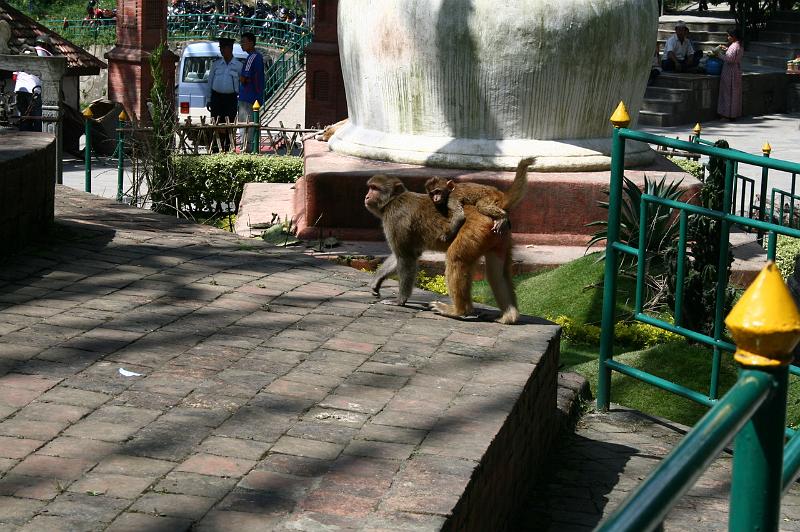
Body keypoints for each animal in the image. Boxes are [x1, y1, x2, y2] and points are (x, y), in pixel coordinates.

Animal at [364, 173, 521, 324]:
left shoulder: (395, 219)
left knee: (455, 259)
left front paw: (400, 300)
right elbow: (408, 254)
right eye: (370, 187)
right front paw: (378, 279)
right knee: (497, 273)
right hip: (500, 237)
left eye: (374, 188)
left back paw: (458, 311)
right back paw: (509, 316)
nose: (366, 196)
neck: (392, 201)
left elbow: (406, 257)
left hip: (475, 230)